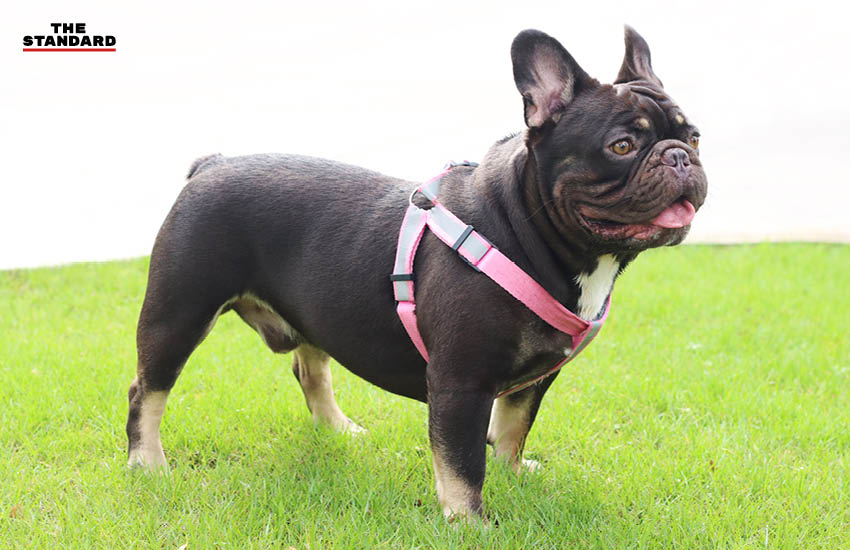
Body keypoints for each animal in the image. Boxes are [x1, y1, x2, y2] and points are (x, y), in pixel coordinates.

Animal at [127, 26, 707, 520]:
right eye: (622, 146)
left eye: (696, 136)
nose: (680, 156)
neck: (525, 226)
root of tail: (211, 164)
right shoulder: (460, 384)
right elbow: (462, 463)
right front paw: (470, 523)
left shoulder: (537, 377)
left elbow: (514, 426)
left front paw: (514, 473)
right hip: (179, 312)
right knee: (148, 390)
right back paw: (147, 463)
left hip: (304, 311)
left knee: (310, 369)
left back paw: (339, 431)